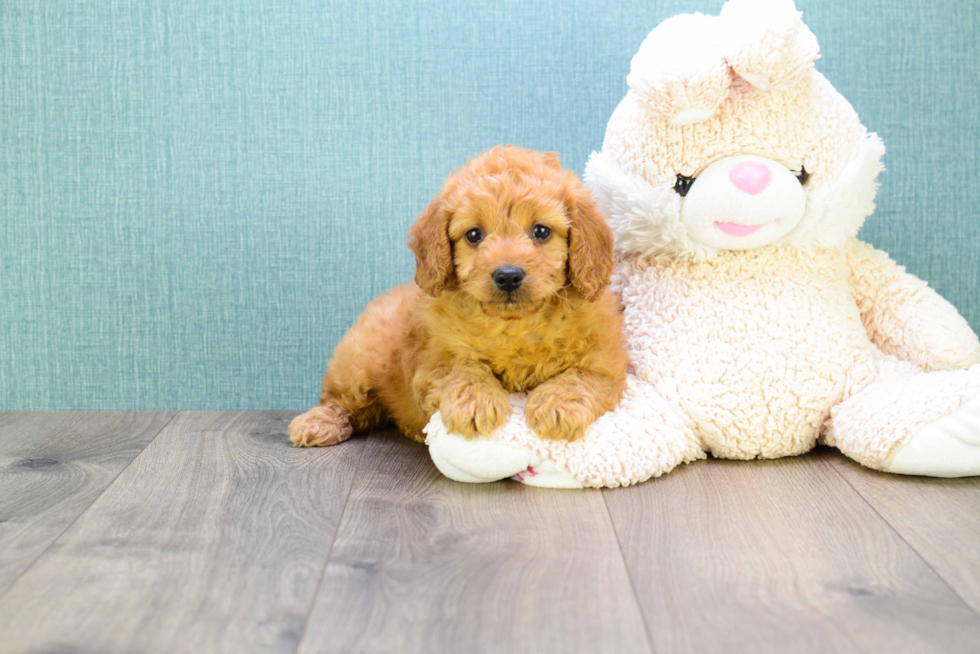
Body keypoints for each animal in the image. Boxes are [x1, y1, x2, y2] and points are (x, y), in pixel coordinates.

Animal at [290, 146, 628, 448]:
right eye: (474, 235)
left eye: (542, 231)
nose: (508, 275)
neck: (514, 325)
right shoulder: (434, 358)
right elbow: (463, 368)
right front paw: (476, 402)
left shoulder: (604, 359)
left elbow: (580, 377)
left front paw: (559, 406)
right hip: (356, 362)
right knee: (341, 400)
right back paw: (318, 423)